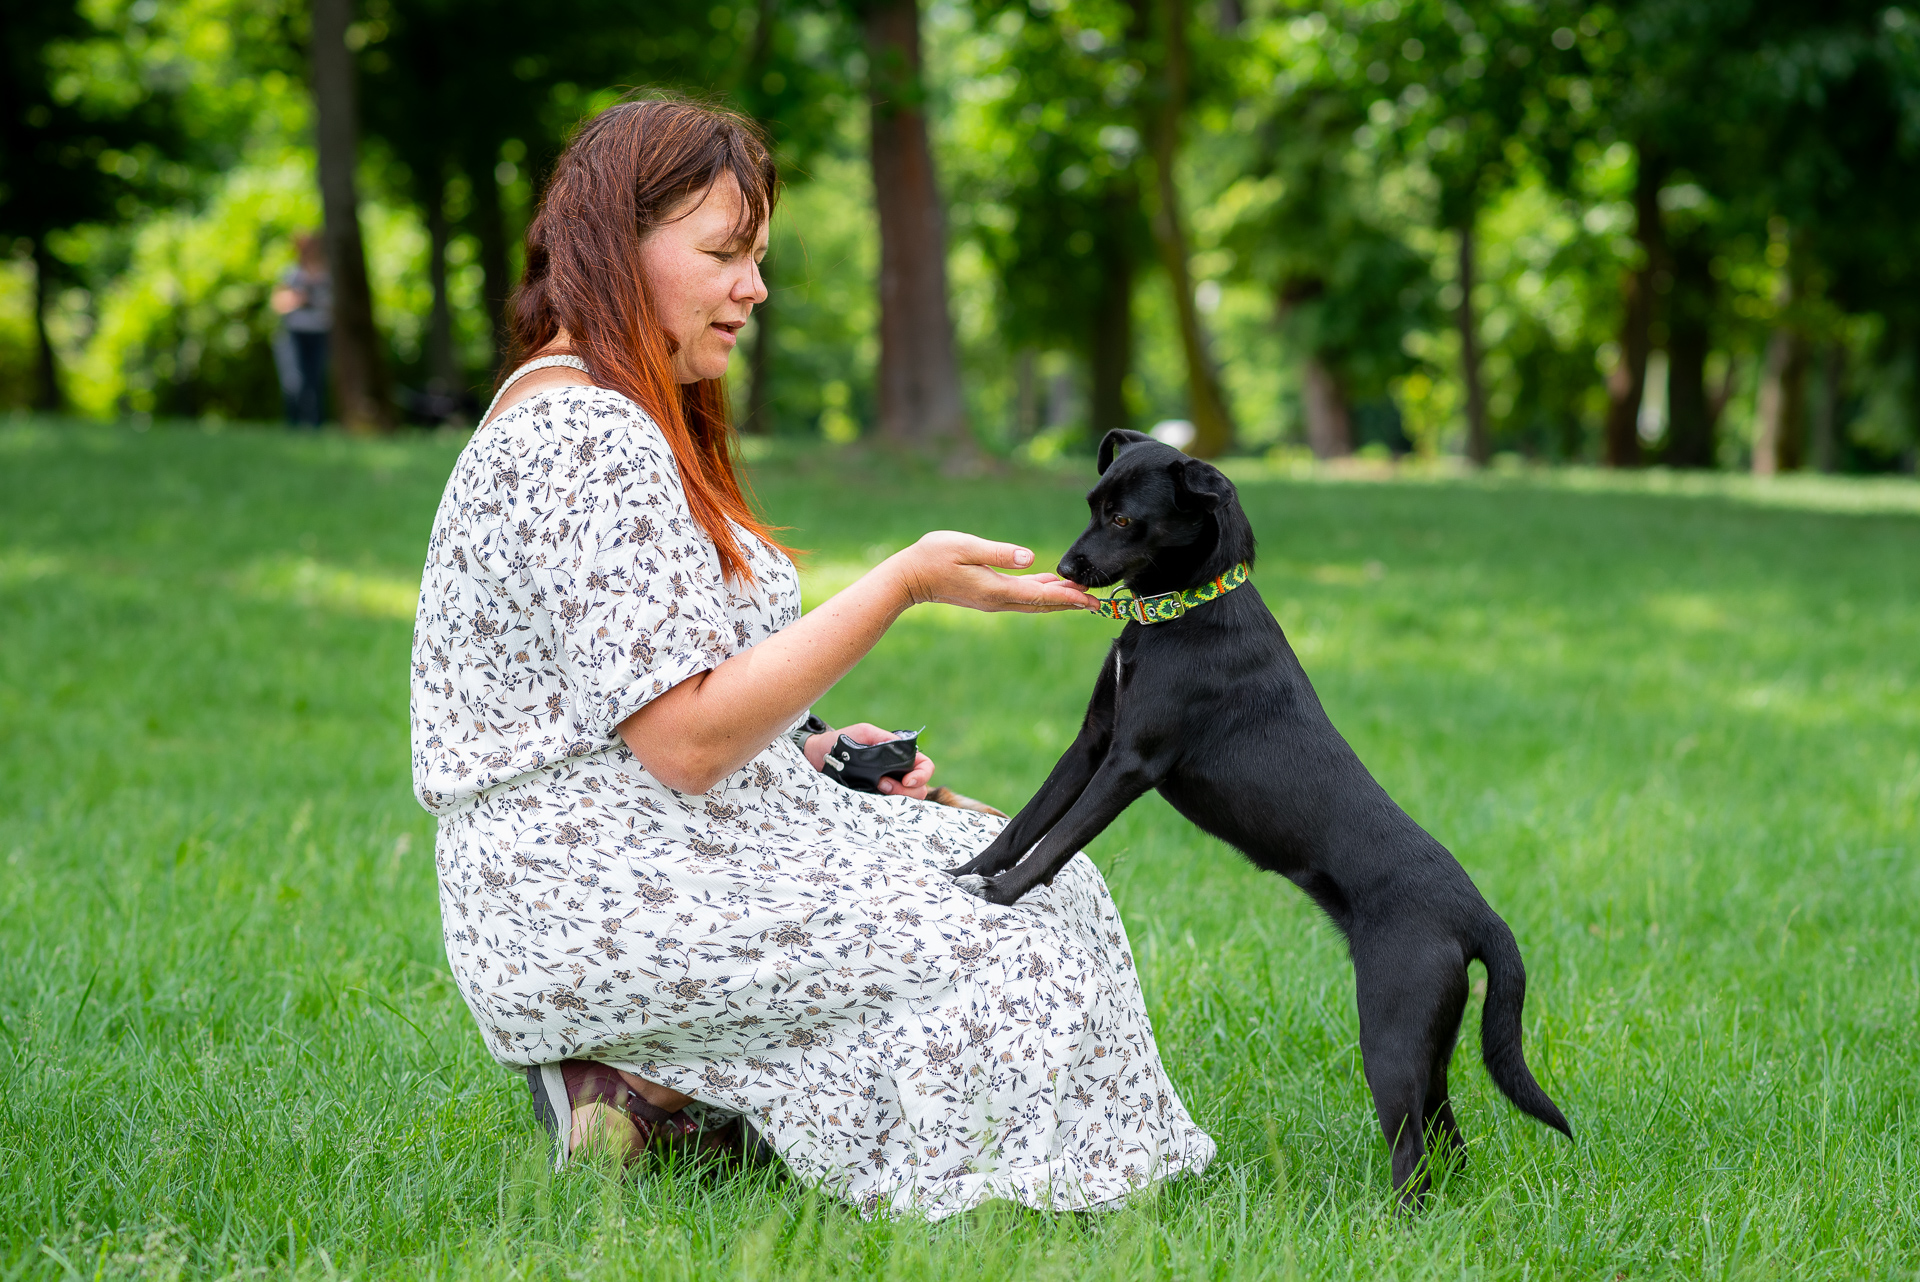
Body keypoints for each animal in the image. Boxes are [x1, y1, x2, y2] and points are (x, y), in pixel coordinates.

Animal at [948, 429, 1574, 1205]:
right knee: (1445, 1140)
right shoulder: (1091, 742)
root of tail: (1478, 914)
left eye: (1124, 520)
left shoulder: (1130, 764)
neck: (1184, 612)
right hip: (1428, 1040)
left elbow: (1056, 841)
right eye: (1093, 505)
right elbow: (1023, 823)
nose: (1065, 568)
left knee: (1414, 1150)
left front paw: (1002, 894)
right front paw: (969, 869)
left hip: (1392, 1031)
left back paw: (1392, 1224)